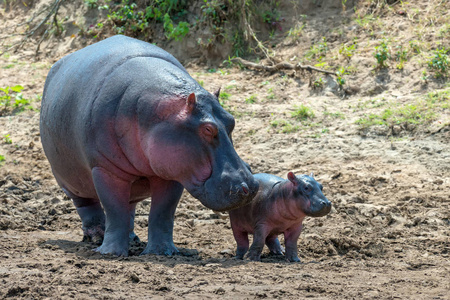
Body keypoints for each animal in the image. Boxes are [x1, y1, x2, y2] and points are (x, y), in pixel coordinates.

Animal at [40, 34, 258, 255]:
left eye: (231, 120)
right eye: (207, 129)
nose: (250, 186)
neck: (159, 114)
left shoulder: (173, 170)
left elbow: (162, 213)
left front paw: (162, 252)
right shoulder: (105, 169)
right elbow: (114, 210)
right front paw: (110, 253)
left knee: (129, 208)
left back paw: (133, 240)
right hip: (69, 179)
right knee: (88, 207)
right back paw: (96, 238)